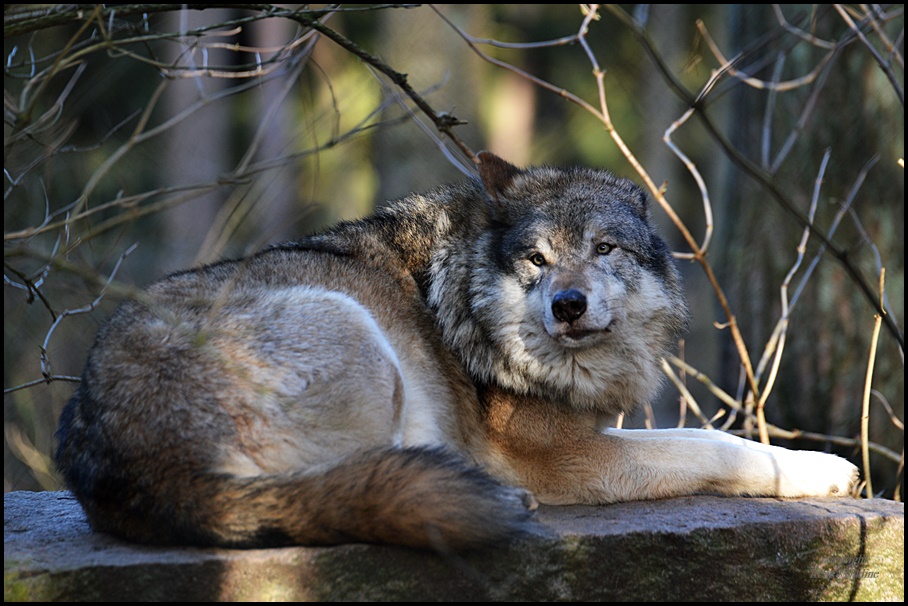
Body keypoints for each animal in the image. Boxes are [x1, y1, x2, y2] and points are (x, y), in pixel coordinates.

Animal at [56, 152, 860, 552]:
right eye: (536, 259)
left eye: (603, 249)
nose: (568, 305)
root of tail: (116, 466)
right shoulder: (563, 455)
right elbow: (713, 443)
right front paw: (819, 470)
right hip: (356, 331)